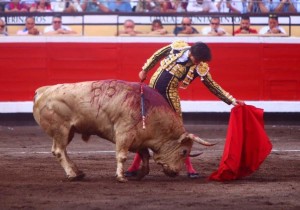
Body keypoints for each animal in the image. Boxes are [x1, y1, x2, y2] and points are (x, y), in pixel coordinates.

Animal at [32, 80, 213, 182]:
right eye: (184, 151)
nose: (175, 173)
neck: (152, 111)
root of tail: (42, 91)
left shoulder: (140, 139)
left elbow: (145, 157)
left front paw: (139, 175)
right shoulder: (124, 134)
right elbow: (122, 156)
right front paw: (121, 177)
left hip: (68, 131)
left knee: (62, 151)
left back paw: (78, 172)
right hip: (61, 129)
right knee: (59, 151)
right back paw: (72, 174)